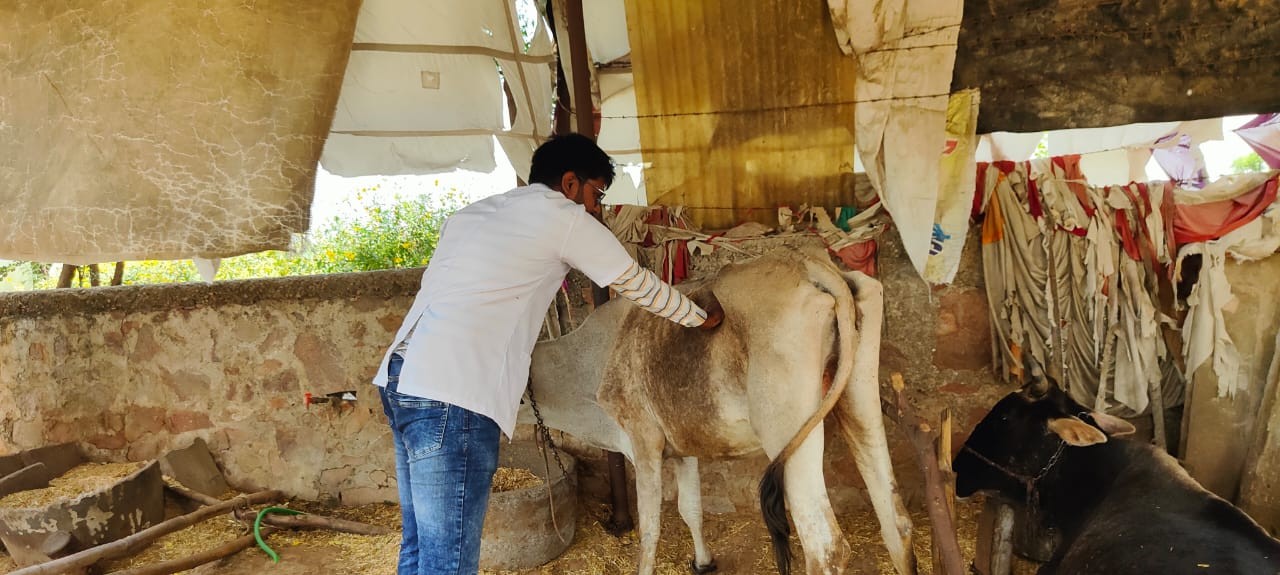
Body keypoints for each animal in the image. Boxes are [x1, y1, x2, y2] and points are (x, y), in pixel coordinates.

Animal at [524, 244, 916, 571]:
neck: (591, 363)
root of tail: (807, 261)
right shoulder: (683, 446)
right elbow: (691, 509)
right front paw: (703, 562)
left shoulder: (643, 440)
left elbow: (650, 529)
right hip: (859, 401)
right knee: (896, 521)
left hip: (786, 432)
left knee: (825, 546)